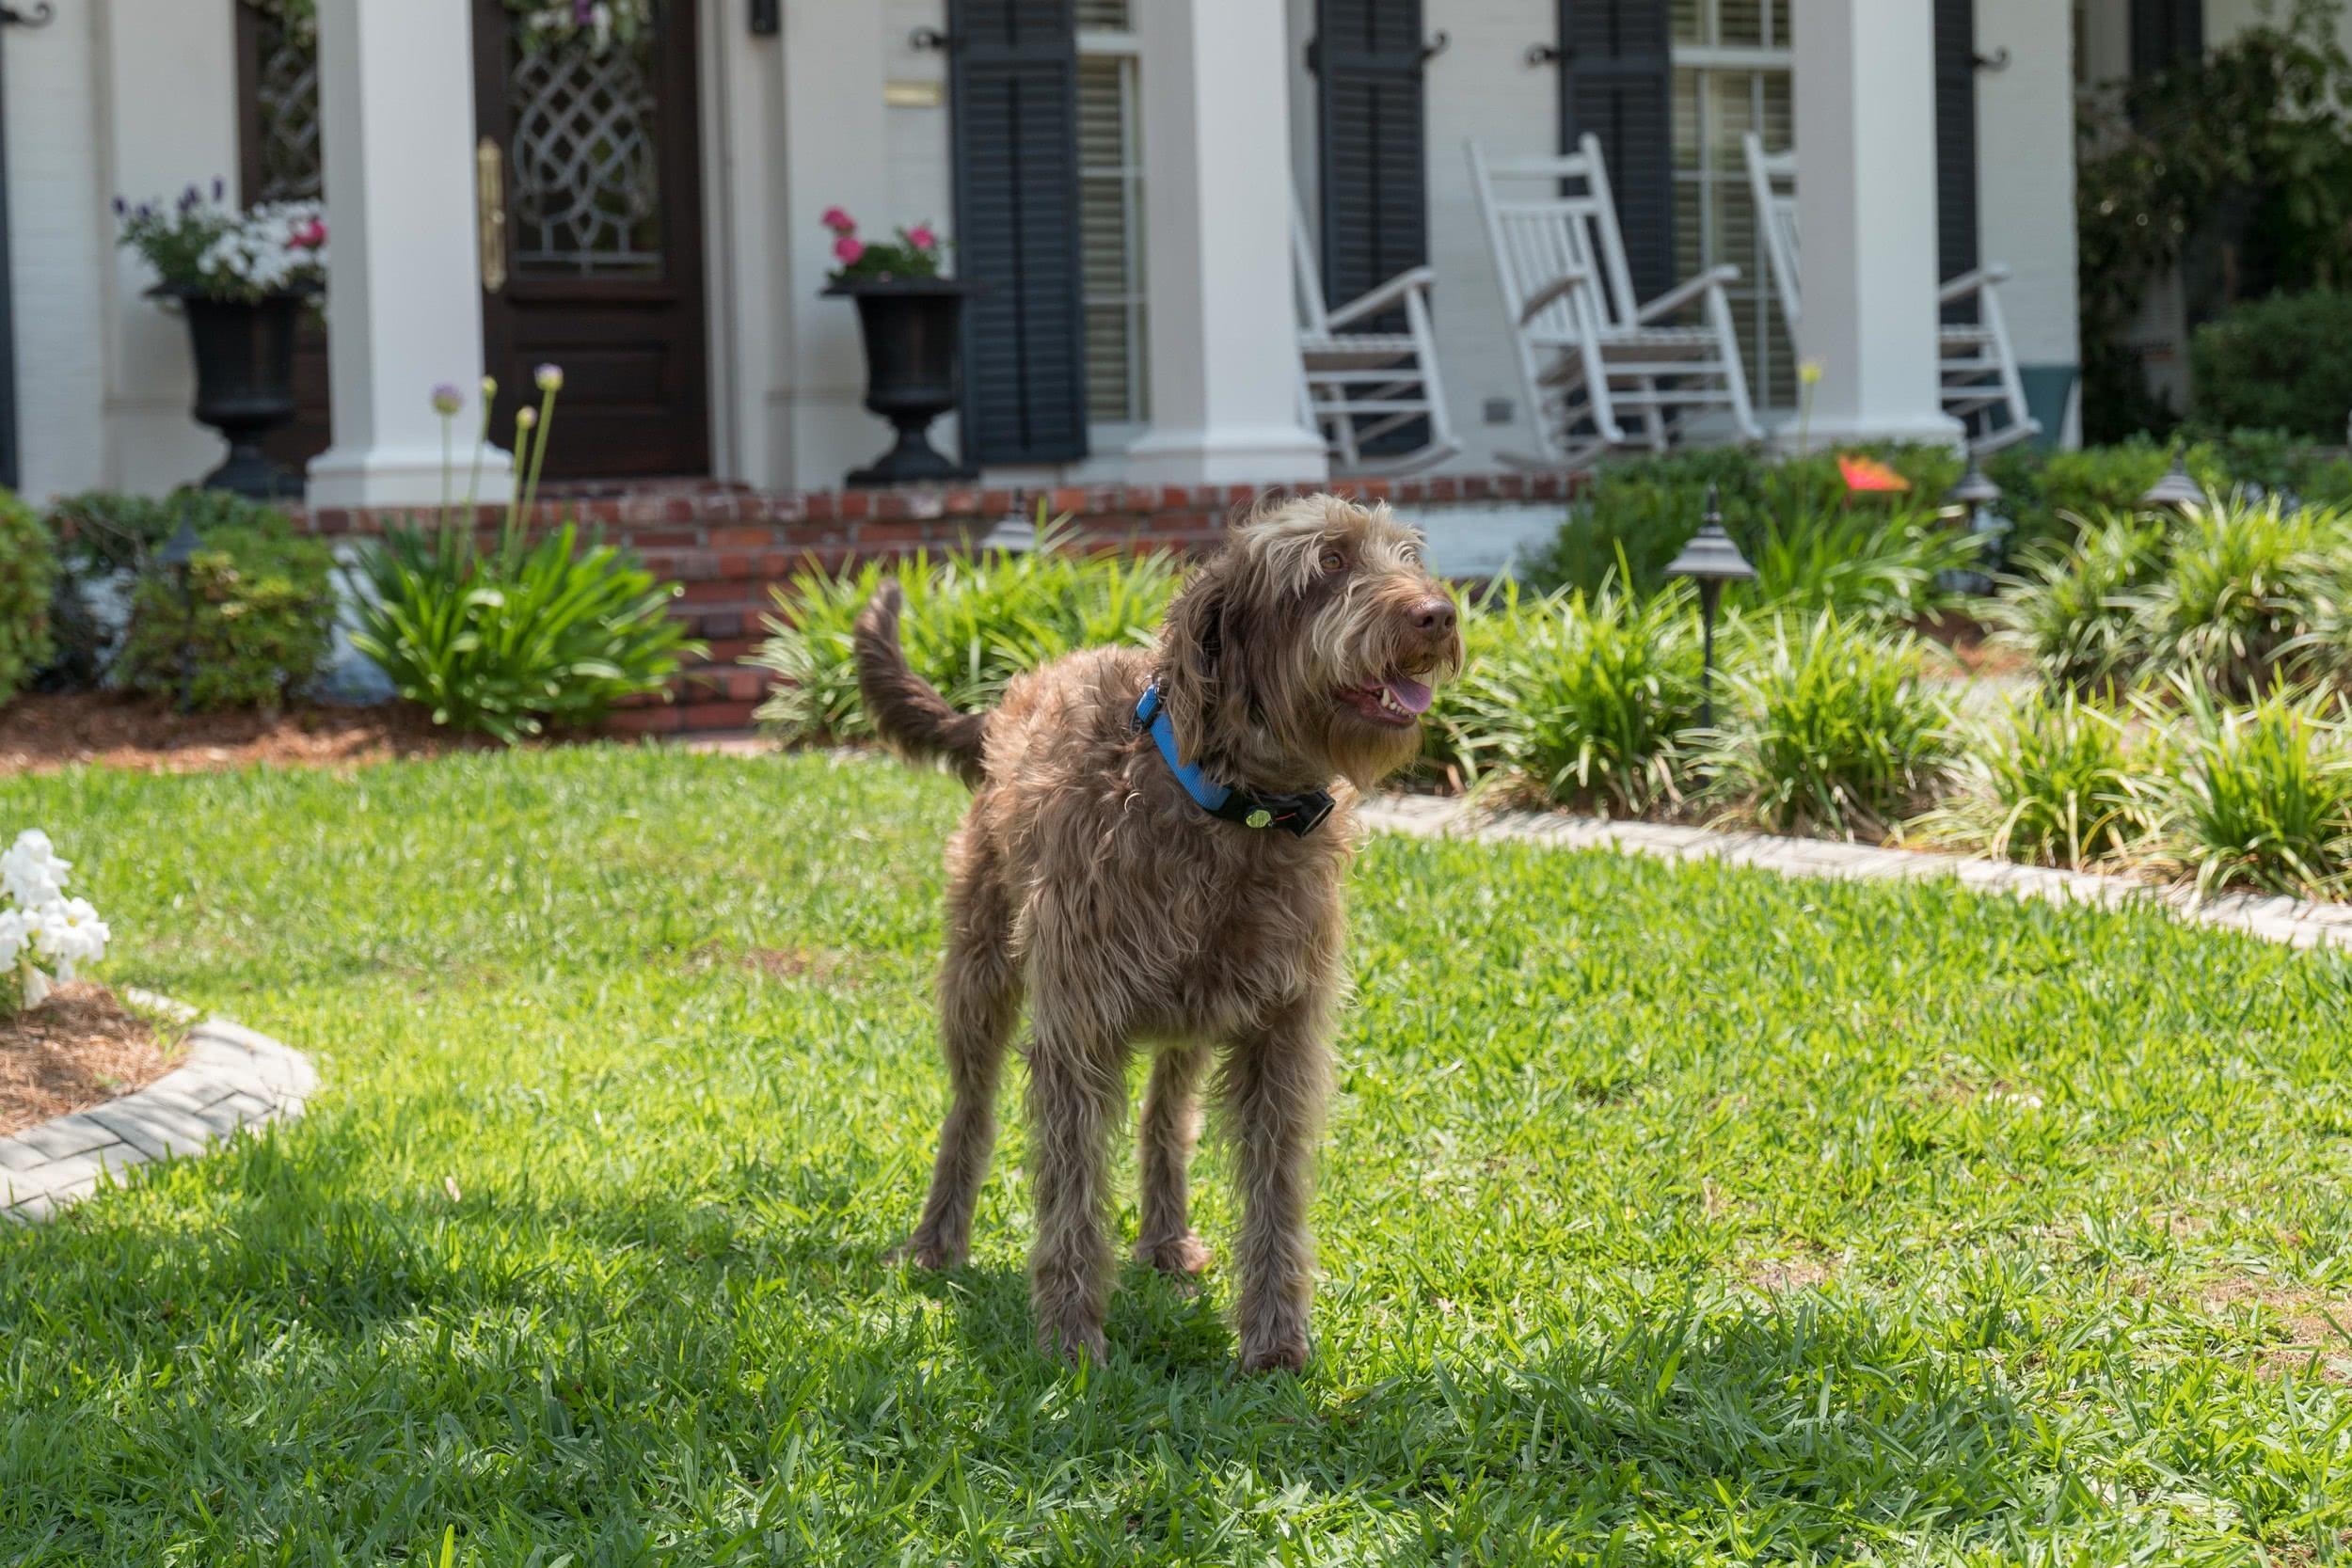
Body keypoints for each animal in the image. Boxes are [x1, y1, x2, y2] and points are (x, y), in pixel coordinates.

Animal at [856, 496, 1458, 1363]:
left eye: (1406, 557)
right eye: (1329, 565)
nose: (1437, 613)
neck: (1232, 809)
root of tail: (1014, 697)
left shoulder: (1281, 1033)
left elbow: (1275, 1191)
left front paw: (1275, 1341)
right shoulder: (1077, 1031)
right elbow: (1072, 1188)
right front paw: (1071, 1340)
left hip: (1194, 1014)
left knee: (1165, 1119)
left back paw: (1166, 1237)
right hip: (980, 972)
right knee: (970, 1106)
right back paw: (937, 1241)